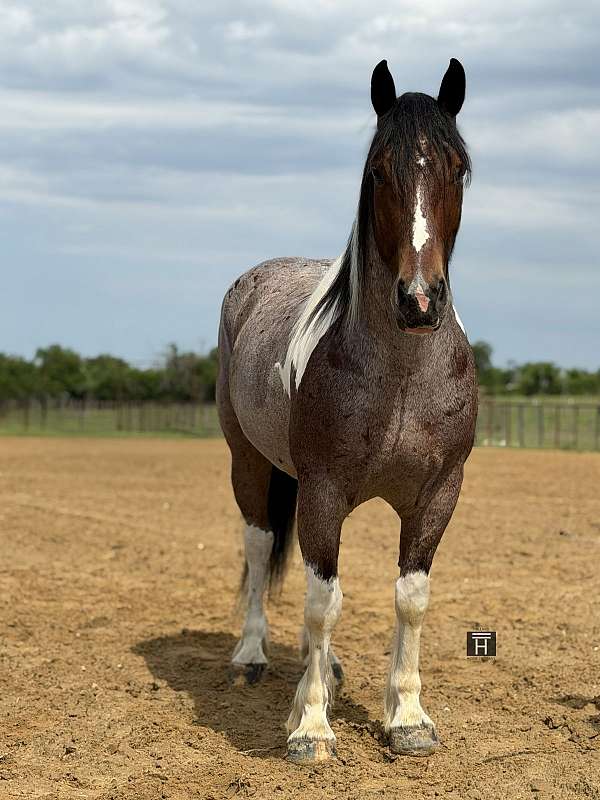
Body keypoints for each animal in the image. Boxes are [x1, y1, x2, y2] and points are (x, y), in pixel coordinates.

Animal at [216, 58, 478, 764]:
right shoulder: (324, 491)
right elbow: (320, 602)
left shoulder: (437, 493)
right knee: (259, 546)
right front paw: (310, 726)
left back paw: (326, 669)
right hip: (248, 462)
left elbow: (410, 599)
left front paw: (408, 718)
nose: (419, 300)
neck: (401, 378)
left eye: (458, 167)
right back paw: (252, 655)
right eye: (379, 171)